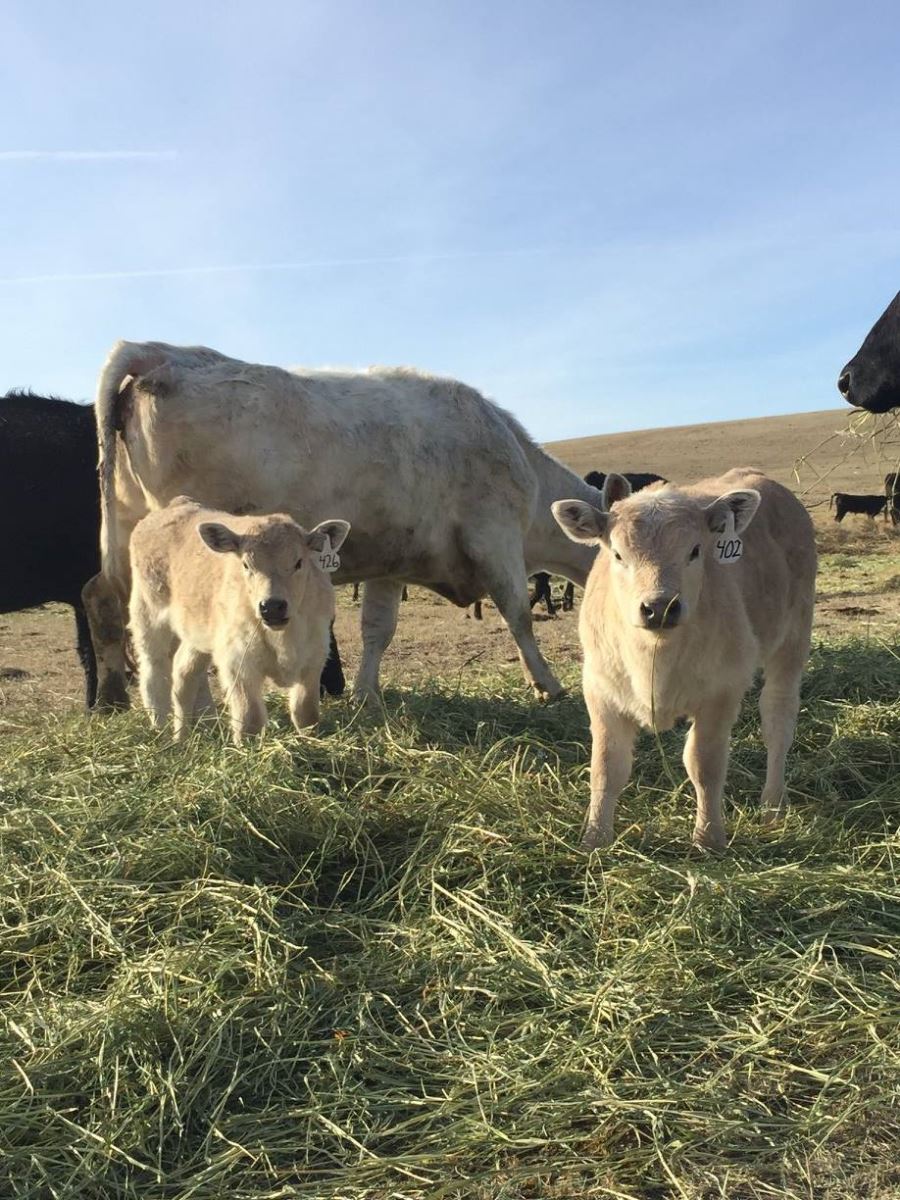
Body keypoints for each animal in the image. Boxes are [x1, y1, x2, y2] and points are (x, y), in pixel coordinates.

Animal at [84, 341, 604, 710]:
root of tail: (160, 351)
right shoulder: (494, 537)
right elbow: (518, 615)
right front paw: (547, 684)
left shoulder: (393, 562)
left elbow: (378, 628)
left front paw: (366, 694)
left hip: (129, 533)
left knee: (104, 601)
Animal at [129, 497, 349, 743]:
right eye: (246, 565)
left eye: (299, 562)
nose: (272, 606)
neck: (283, 638)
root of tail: (176, 505)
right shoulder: (239, 662)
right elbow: (249, 720)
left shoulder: (313, 657)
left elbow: (306, 713)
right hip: (148, 615)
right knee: (154, 672)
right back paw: (159, 727)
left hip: (199, 636)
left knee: (184, 674)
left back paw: (183, 737)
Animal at [552, 468, 816, 851]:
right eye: (618, 554)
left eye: (695, 550)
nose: (660, 607)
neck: (654, 656)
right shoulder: (601, 691)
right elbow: (606, 767)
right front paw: (594, 839)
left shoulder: (721, 691)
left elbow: (704, 765)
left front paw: (709, 839)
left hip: (793, 639)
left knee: (778, 720)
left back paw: (772, 807)